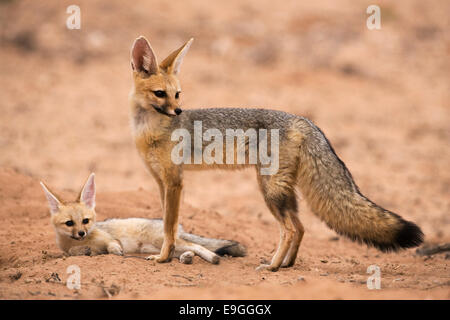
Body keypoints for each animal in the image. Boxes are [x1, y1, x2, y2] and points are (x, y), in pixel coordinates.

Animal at [40, 174, 248, 264]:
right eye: (69, 223)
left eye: (85, 221)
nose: (82, 233)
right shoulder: (70, 248)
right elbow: (74, 251)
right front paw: (83, 249)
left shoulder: (108, 238)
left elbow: (111, 244)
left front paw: (116, 250)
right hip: (161, 246)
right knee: (182, 251)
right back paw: (186, 258)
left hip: (161, 241)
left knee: (197, 246)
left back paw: (212, 258)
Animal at [128, 36, 424, 272]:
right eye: (160, 93)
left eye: (177, 94)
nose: (178, 111)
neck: (150, 130)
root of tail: (302, 119)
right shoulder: (161, 182)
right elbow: (166, 223)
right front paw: (166, 253)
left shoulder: (175, 182)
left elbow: (169, 226)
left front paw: (163, 257)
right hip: (282, 191)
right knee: (301, 227)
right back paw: (286, 264)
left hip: (269, 190)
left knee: (290, 229)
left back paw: (272, 266)